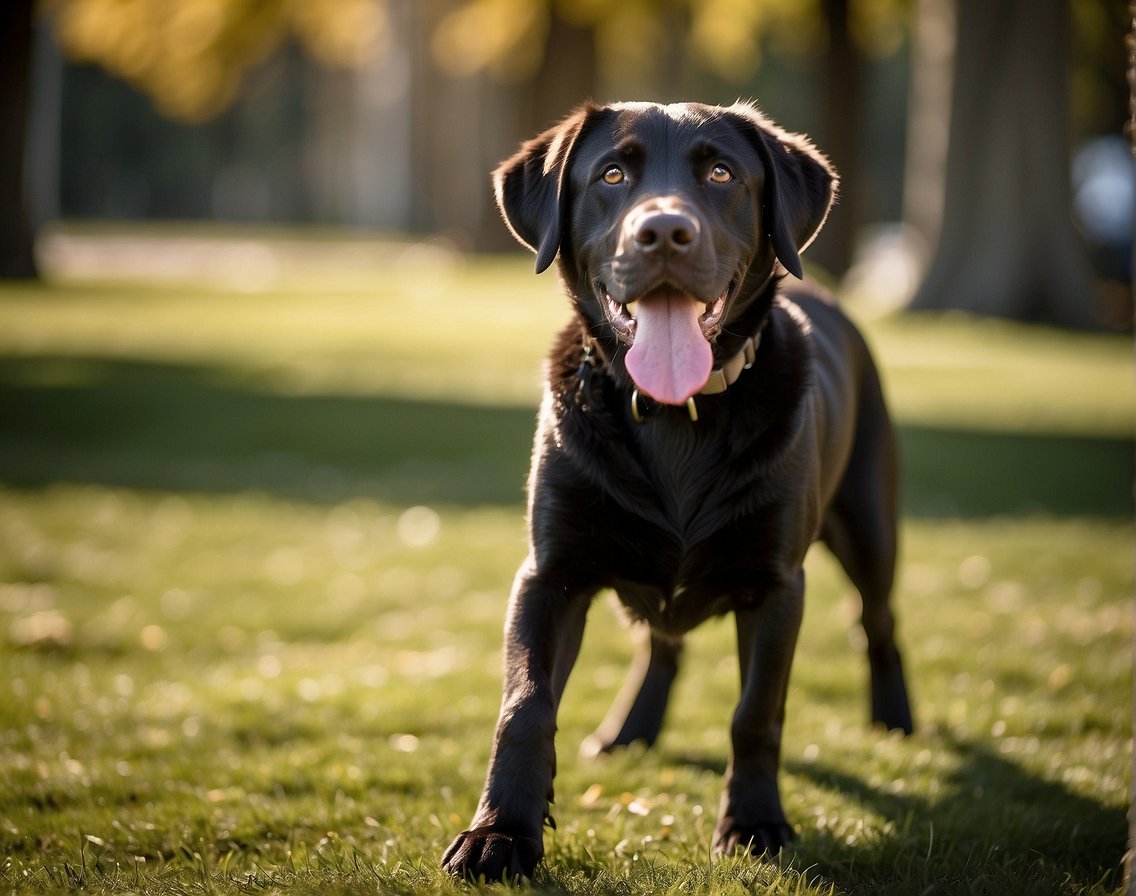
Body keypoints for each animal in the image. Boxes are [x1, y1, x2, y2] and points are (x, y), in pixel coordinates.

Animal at [438, 101, 908, 876]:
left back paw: (896, 719)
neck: (672, 414)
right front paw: (499, 833)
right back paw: (632, 728)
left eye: (721, 173)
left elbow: (756, 714)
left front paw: (752, 825)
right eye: (611, 174)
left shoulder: (777, 585)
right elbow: (525, 706)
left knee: (878, 621)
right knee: (661, 645)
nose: (663, 231)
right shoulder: (548, 574)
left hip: (870, 523)